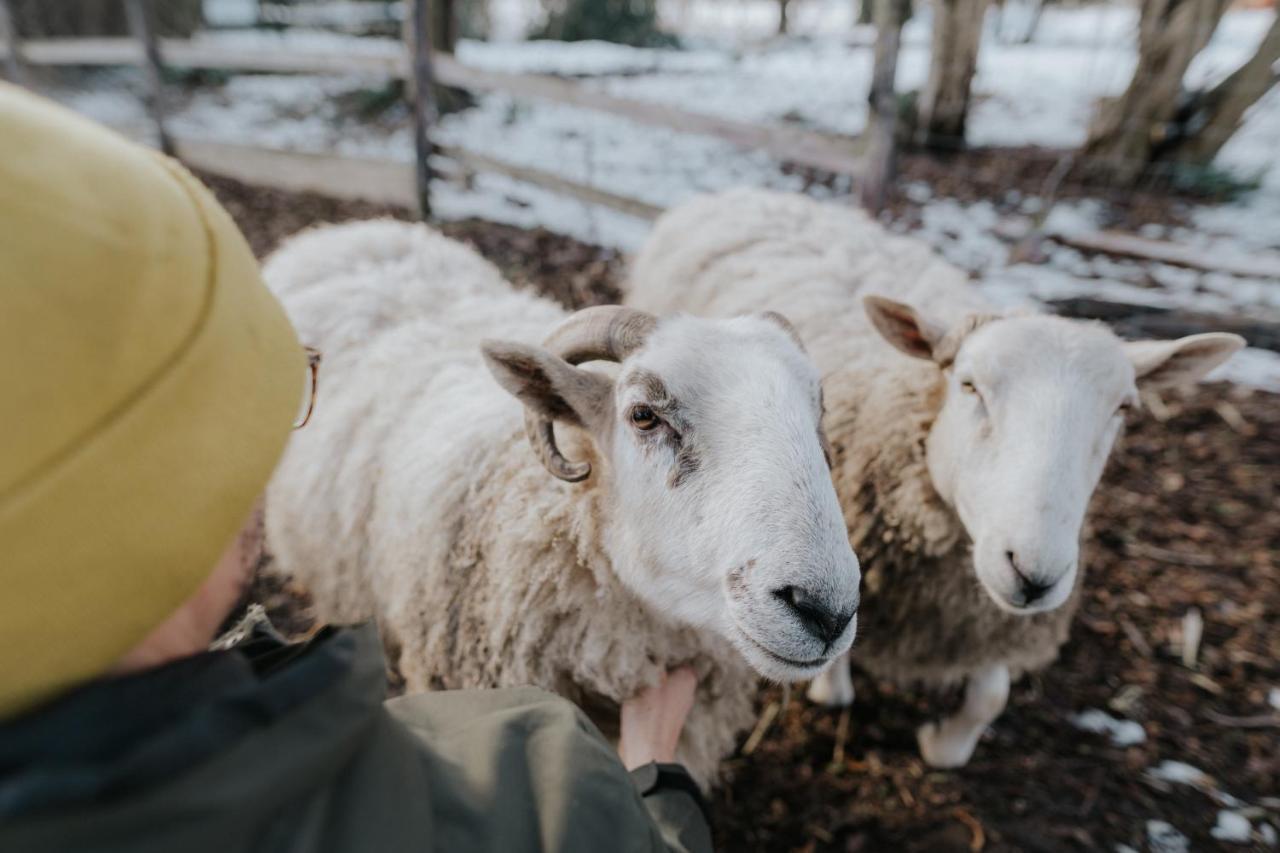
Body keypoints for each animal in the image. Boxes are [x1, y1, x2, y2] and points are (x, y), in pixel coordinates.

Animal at [624, 189, 1244, 768]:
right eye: (969, 385)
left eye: (1124, 408)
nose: (1034, 575)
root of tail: (743, 193)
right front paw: (834, 690)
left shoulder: (990, 618)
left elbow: (989, 698)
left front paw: (942, 742)